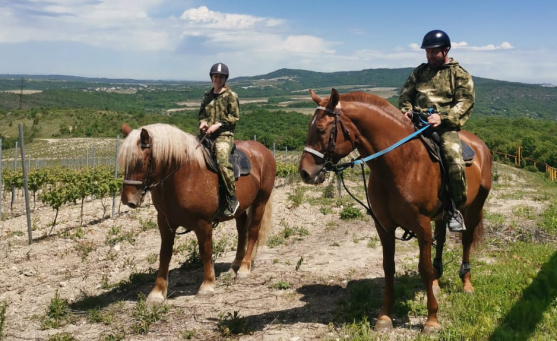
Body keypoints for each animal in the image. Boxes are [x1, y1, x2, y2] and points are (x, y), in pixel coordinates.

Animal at [118, 123, 274, 300]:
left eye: (140, 162)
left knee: (253, 231)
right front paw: (157, 293)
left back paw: (244, 268)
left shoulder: (203, 224)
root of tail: (264, 150)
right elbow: (165, 254)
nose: (127, 200)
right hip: (240, 210)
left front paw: (207, 285)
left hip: (260, 201)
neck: (185, 174)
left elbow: (205, 252)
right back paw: (236, 263)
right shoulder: (164, 223)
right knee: (242, 231)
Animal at [300, 88, 490, 332]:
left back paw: (466, 284)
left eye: (322, 129)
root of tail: (480, 145)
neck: (400, 163)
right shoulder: (385, 227)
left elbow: (423, 268)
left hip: (474, 208)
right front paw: (384, 317)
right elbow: (388, 268)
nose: (305, 172)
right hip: (442, 215)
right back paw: (437, 283)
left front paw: (432, 320)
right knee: (442, 241)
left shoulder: (422, 226)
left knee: (466, 241)